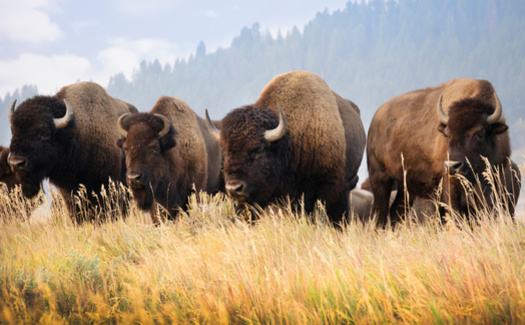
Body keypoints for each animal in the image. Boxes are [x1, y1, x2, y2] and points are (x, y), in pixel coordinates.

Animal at [366, 78, 516, 225]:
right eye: (447, 134)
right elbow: (455, 214)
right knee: (379, 213)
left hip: (405, 187)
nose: (452, 166)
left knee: (396, 212)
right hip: (380, 178)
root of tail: (375, 119)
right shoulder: (450, 184)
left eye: (480, 133)